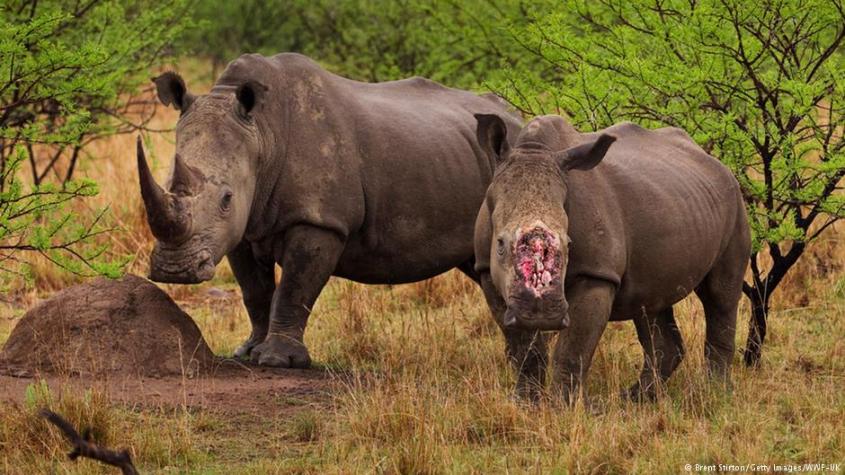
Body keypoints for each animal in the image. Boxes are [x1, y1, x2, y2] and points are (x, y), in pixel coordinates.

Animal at [137, 53, 522, 367]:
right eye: (168, 182)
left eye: (226, 198)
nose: (174, 270)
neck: (262, 134)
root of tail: (517, 119)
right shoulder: (242, 228)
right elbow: (254, 290)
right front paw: (247, 352)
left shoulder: (319, 220)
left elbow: (295, 287)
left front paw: (278, 360)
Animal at [473, 114, 750, 402]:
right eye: (500, 244)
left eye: (569, 244)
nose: (541, 313)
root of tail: (715, 162)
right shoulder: (487, 272)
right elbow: (524, 351)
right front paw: (525, 403)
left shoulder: (596, 274)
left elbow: (571, 351)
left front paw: (562, 407)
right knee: (650, 303)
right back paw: (635, 399)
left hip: (734, 202)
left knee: (720, 295)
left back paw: (716, 393)